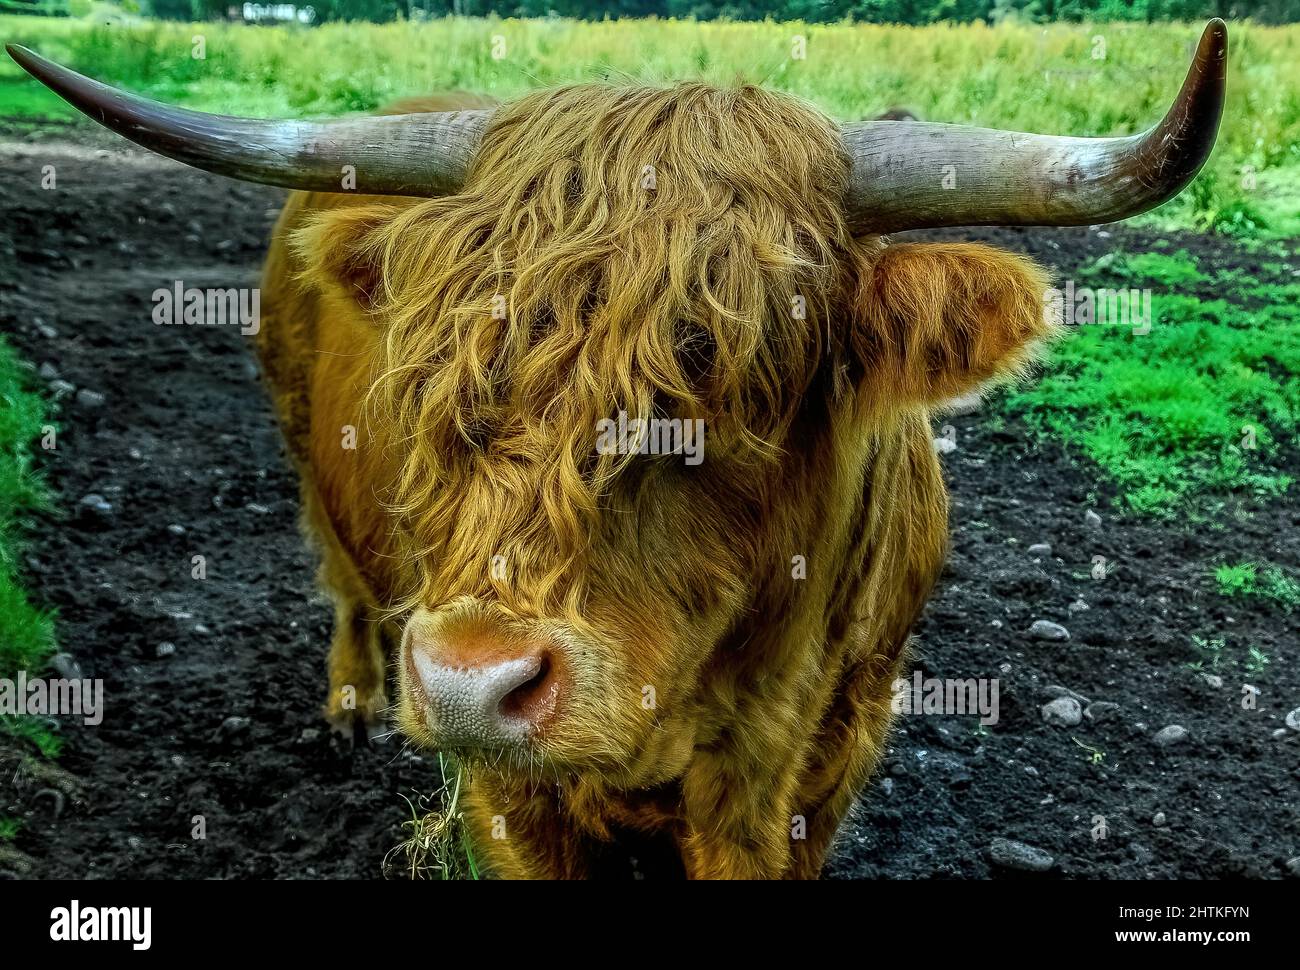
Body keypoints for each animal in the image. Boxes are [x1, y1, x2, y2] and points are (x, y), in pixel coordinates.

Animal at [7, 18, 1227, 873]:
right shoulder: (511, 799)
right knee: (344, 577)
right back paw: (352, 703)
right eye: (439, 368)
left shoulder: (818, 776)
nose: (470, 684)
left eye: (727, 376)